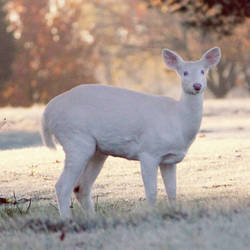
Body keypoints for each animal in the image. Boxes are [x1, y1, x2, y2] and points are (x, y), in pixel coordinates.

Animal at [40, 47, 221, 219]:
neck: (178, 120)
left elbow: (172, 192)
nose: (197, 86)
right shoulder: (149, 151)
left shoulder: (169, 159)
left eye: (203, 71)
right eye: (184, 72)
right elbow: (152, 192)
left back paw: (93, 217)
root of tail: (48, 112)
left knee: (80, 187)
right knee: (62, 186)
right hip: (75, 138)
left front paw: (173, 211)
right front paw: (152, 215)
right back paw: (67, 219)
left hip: (97, 150)